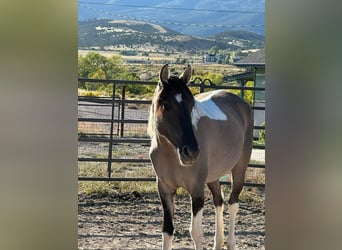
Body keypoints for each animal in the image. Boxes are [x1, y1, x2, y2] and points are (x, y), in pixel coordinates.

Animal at [147, 64, 254, 250]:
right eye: (166, 104)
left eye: (191, 105)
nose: (191, 152)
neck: (171, 154)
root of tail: (241, 104)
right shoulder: (165, 189)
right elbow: (167, 231)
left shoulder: (196, 190)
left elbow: (196, 233)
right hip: (213, 176)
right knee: (219, 201)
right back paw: (218, 243)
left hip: (240, 168)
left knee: (233, 203)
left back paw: (230, 243)